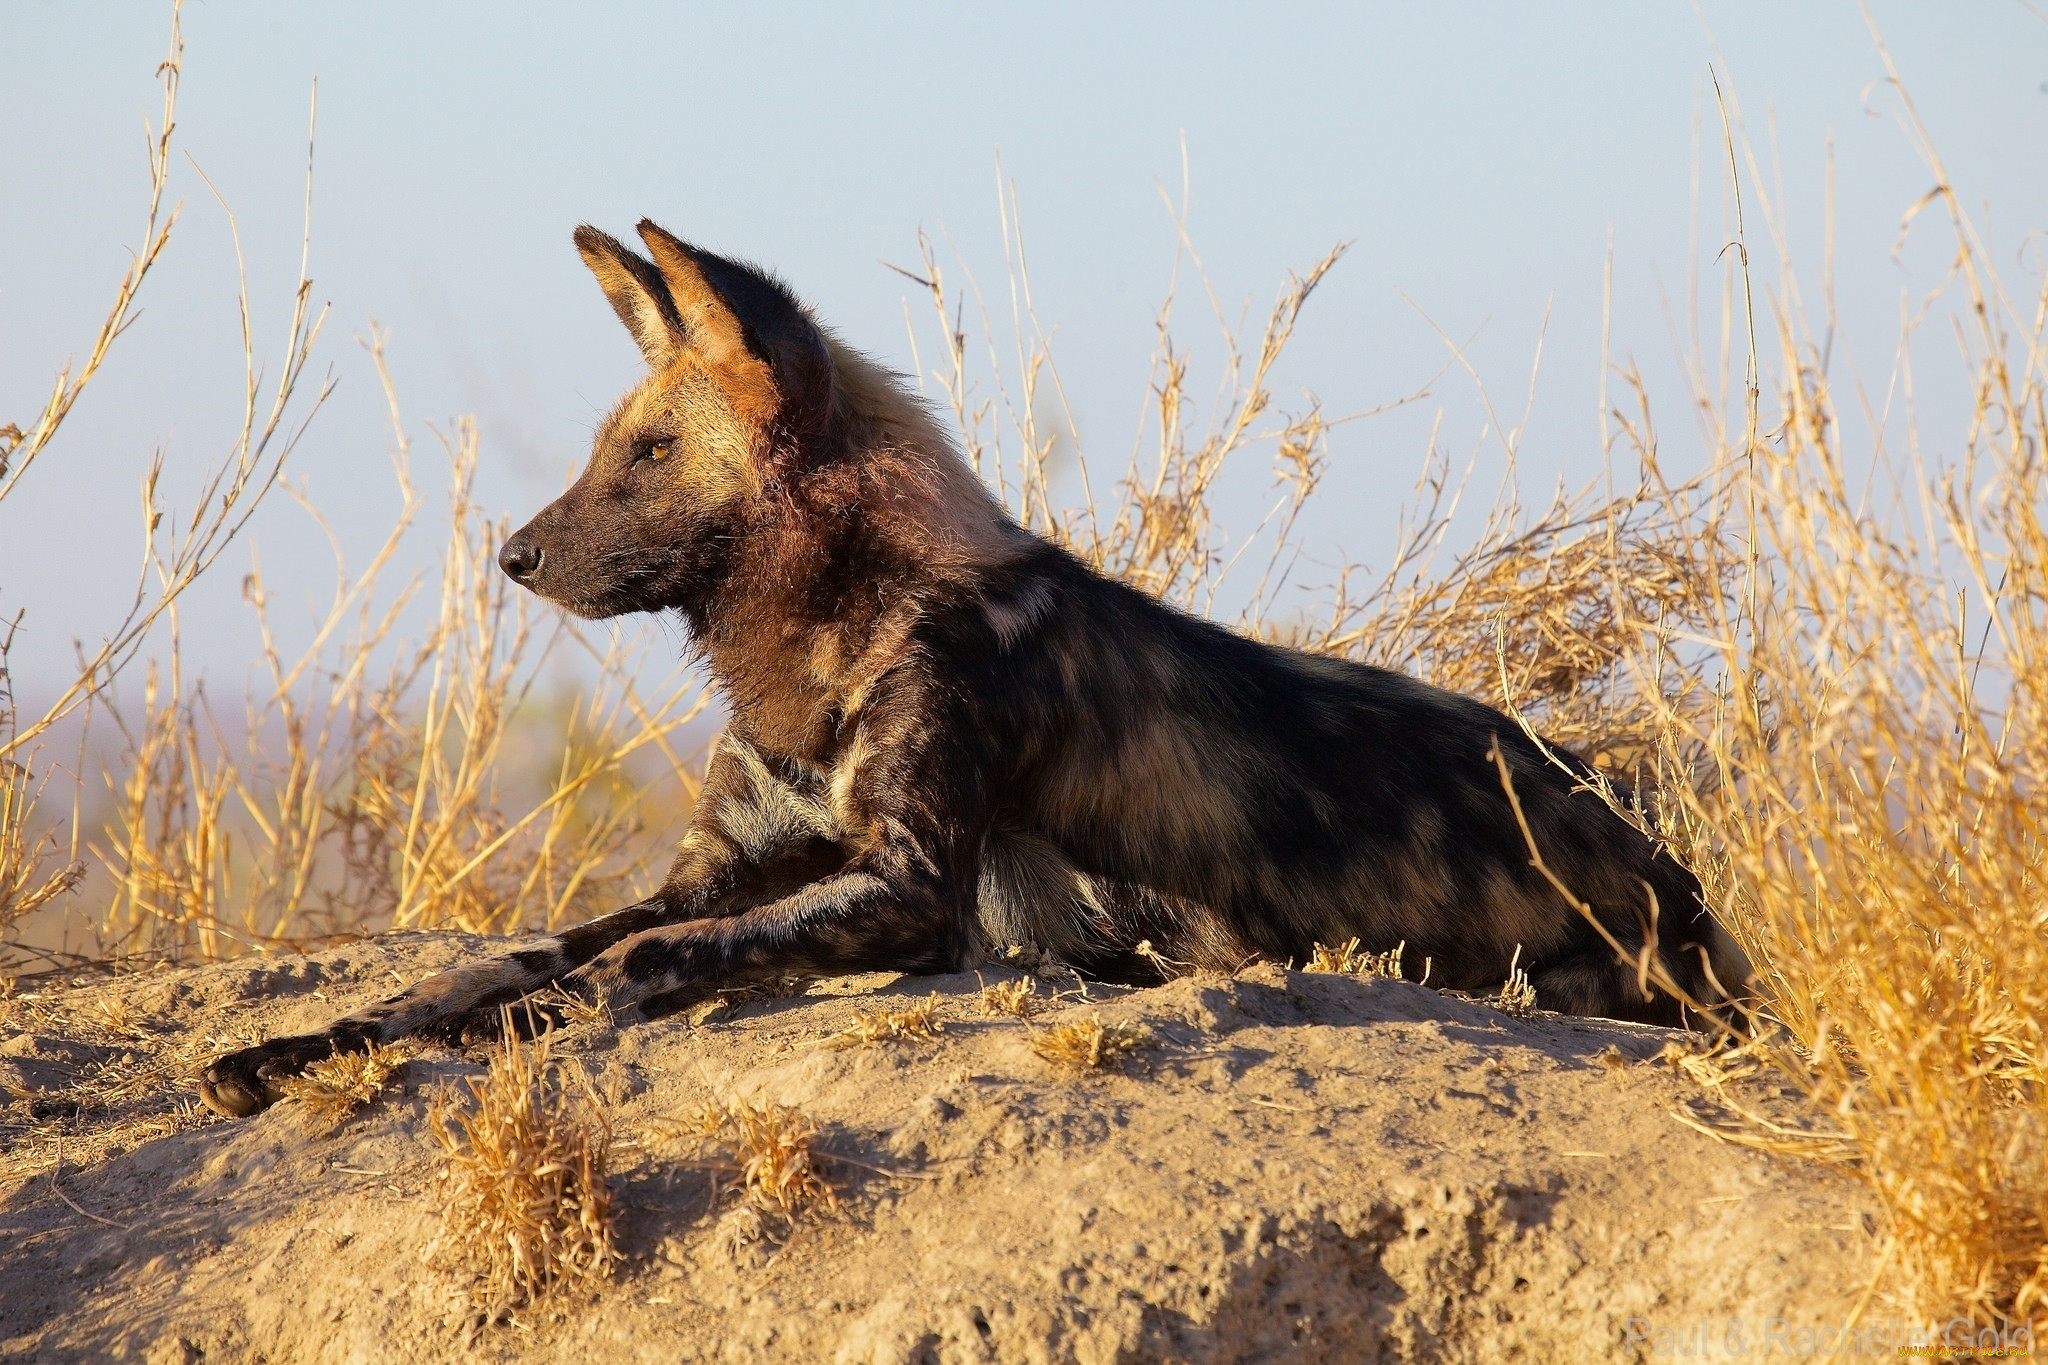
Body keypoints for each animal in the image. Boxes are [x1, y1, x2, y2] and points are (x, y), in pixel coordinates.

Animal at [203, 218, 1744, 1113]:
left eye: (648, 454)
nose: (513, 556)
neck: (830, 628)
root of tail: (1669, 865)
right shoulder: (713, 873)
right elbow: (492, 967)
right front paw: (301, 1048)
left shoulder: (907, 892)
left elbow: (616, 973)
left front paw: (533, 1028)